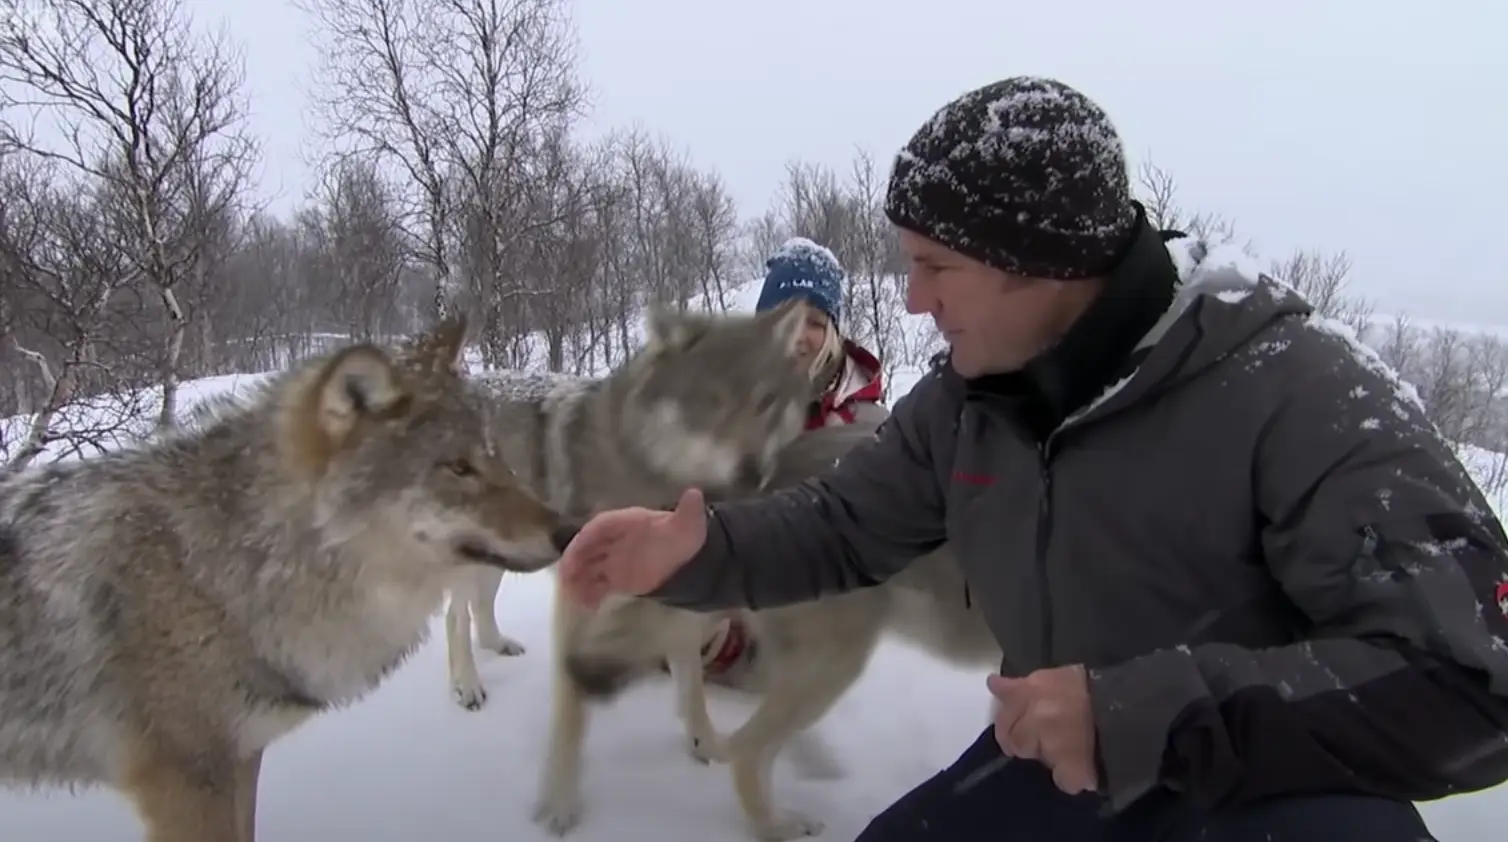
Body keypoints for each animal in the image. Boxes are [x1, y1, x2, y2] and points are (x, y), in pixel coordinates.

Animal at [0, 316, 573, 842]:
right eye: (457, 468)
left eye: (496, 456)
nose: (570, 531)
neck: (220, 573)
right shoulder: (186, 783)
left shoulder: (243, 756)